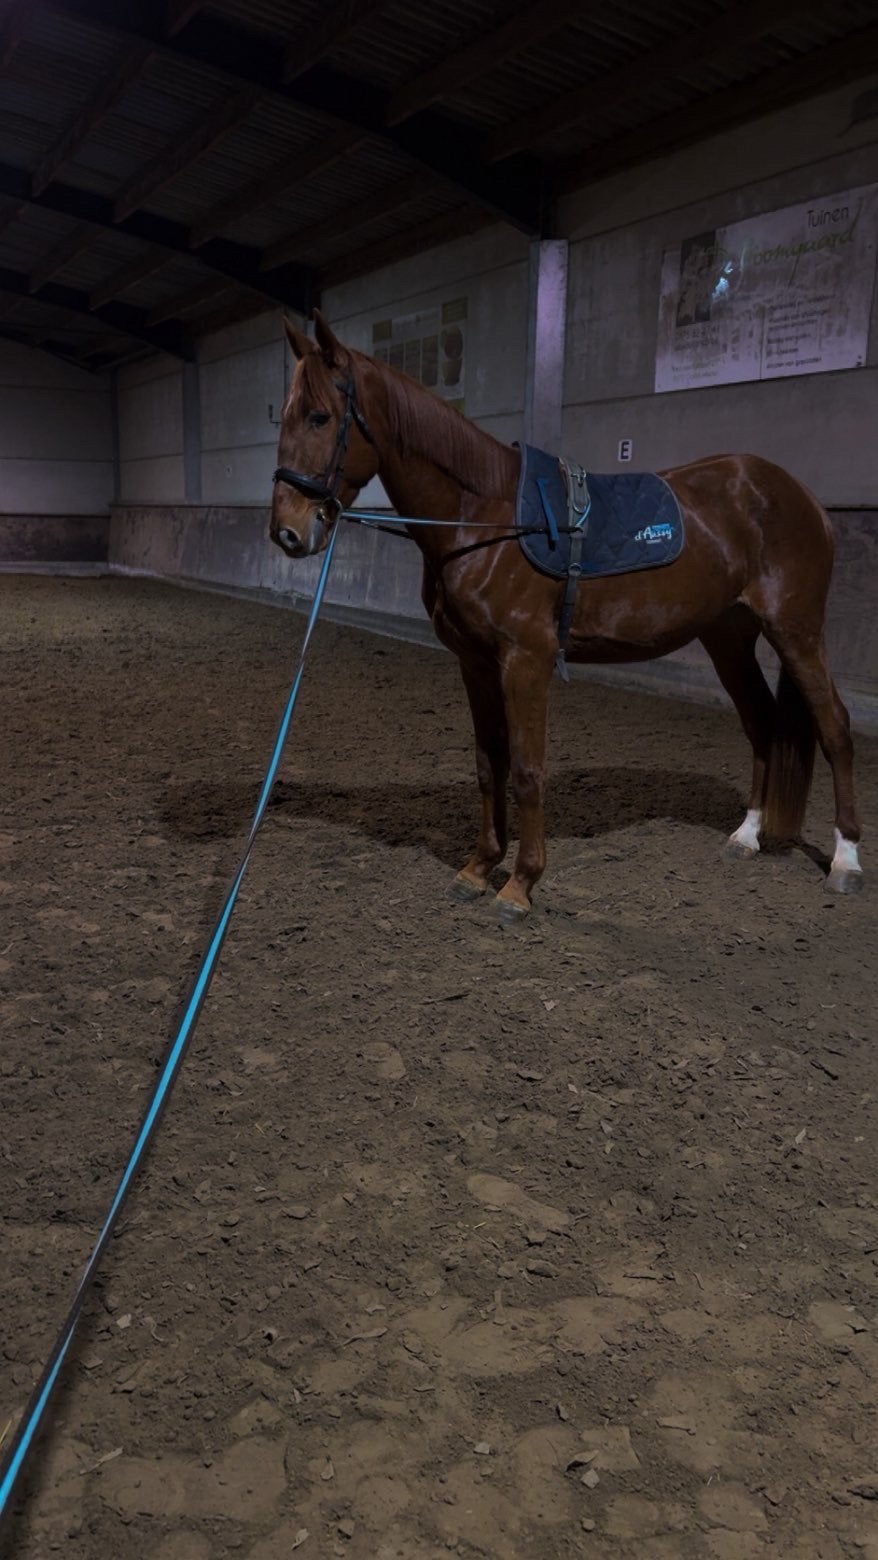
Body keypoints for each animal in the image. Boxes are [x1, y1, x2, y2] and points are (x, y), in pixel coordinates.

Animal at [269, 309, 862, 925]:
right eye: (283, 417)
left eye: (320, 416)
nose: (288, 532)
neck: (485, 519)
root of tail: (799, 495)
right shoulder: (475, 665)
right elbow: (489, 766)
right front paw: (477, 869)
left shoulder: (525, 661)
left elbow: (528, 772)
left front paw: (520, 885)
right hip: (728, 637)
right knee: (762, 723)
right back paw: (746, 836)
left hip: (795, 630)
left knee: (835, 726)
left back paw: (846, 861)